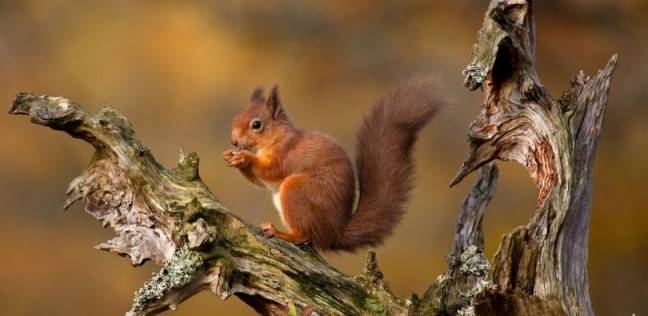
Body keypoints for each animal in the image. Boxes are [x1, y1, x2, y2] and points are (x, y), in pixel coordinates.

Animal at [223, 79, 440, 252]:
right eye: (235, 118)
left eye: (256, 125)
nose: (234, 141)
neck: (276, 137)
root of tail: (334, 233)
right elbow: (260, 182)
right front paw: (231, 157)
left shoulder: (286, 154)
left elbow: (272, 171)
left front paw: (244, 158)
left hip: (297, 190)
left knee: (304, 234)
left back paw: (280, 233)